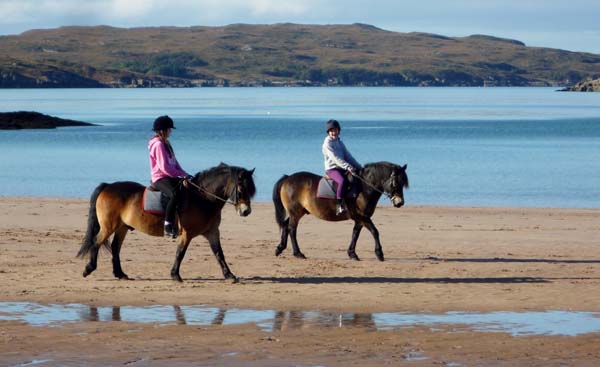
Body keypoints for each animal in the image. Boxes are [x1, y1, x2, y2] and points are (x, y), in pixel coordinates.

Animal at [76, 165, 254, 284]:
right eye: (241, 190)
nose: (246, 211)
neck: (203, 198)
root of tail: (107, 186)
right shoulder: (187, 234)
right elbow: (180, 253)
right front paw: (175, 275)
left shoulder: (212, 232)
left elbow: (219, 254)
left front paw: (229, 275)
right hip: (109, 226)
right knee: (97, 242)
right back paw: (88, 269)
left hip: (121, 227)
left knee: (115, 247)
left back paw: (120, 274)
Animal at [274, 162, 410, 262]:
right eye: (395, 182)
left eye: (403, 183)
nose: (400, 203)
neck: (363, 188)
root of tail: (288, 178)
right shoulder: (363, 217)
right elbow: (375, 231)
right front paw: (379, 253)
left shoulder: (359, 219)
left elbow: (355, 234)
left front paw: (352, 253)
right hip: (295, 213)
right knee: (292, 229)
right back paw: (298, 253)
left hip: (297, 212)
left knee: (285, 225)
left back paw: (280, 248)